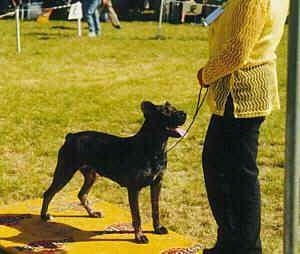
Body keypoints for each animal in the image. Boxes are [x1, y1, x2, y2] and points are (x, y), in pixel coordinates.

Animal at [39, 101, 185, 244]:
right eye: (165, 112)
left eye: (174, 108)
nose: (184, 113)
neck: (154, 149)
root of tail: (71, 136)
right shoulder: (134, 188)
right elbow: (137, 215)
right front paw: (139, 236)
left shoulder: (157, 183)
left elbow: (155, 209)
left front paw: (158, 228)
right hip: (65, 172)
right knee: (49, 193)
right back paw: (44, 216)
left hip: (90, 175)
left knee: (82, 194)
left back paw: (92, 213)